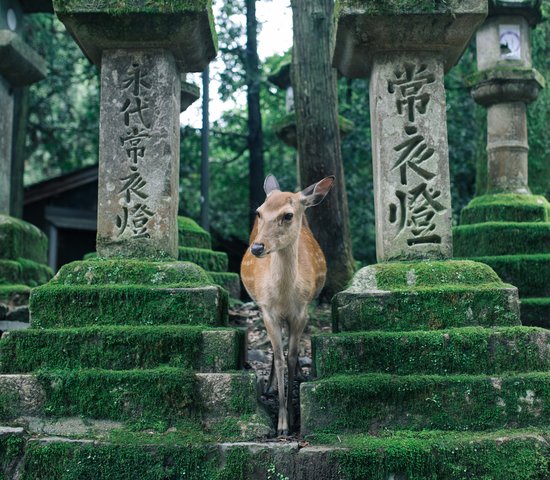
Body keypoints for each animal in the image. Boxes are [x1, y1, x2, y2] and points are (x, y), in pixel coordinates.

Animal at [243, 173, 336, 436]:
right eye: (259, 212)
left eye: (287, 215)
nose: (257, 247)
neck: (284, 296)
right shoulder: (267, 311)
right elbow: (279, 358)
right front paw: (281, 424)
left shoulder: (301, 311)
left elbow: (293, 357)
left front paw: (293, 419)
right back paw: (269, 387)